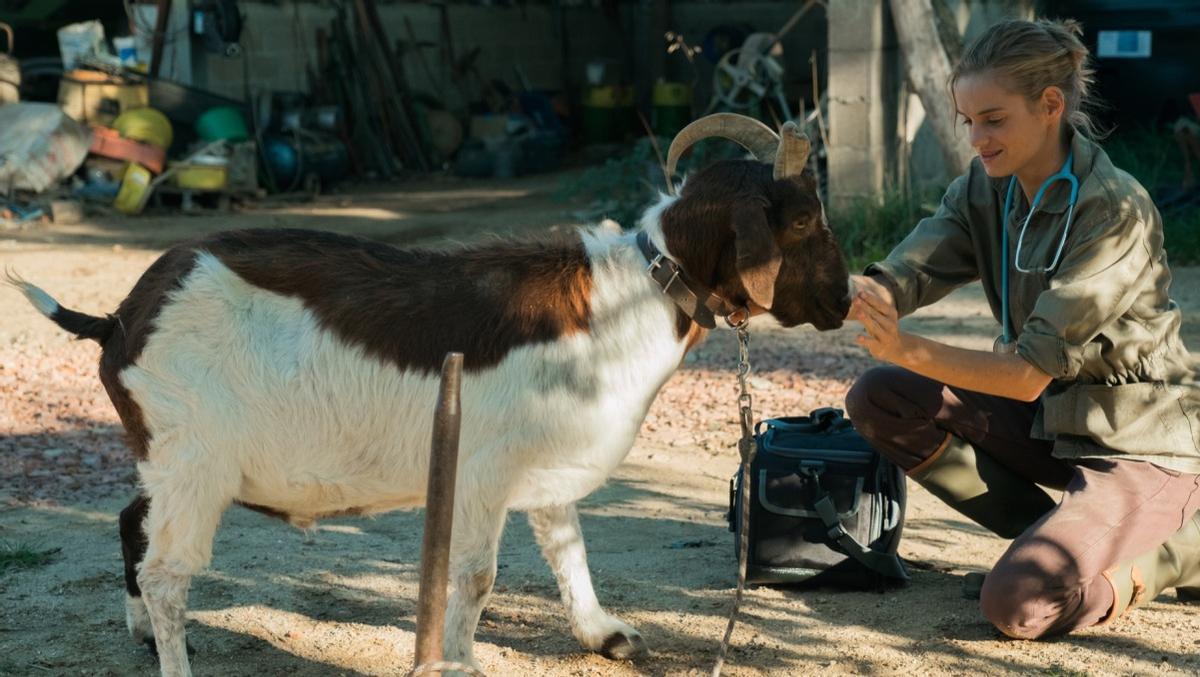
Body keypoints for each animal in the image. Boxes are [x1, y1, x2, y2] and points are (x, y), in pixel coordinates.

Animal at [9, 113, 854, 672]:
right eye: (803, 218)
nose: (847, 298)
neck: (634, 291)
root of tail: (120, 316)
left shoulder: (544, 459)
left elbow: (568, 547)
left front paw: (605, 633)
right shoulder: (482, 471)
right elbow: (475, 576)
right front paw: (461, 661)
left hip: (174, 458)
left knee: (132, 521)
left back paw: (141, 632)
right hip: (195, 461)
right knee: (166, 571)